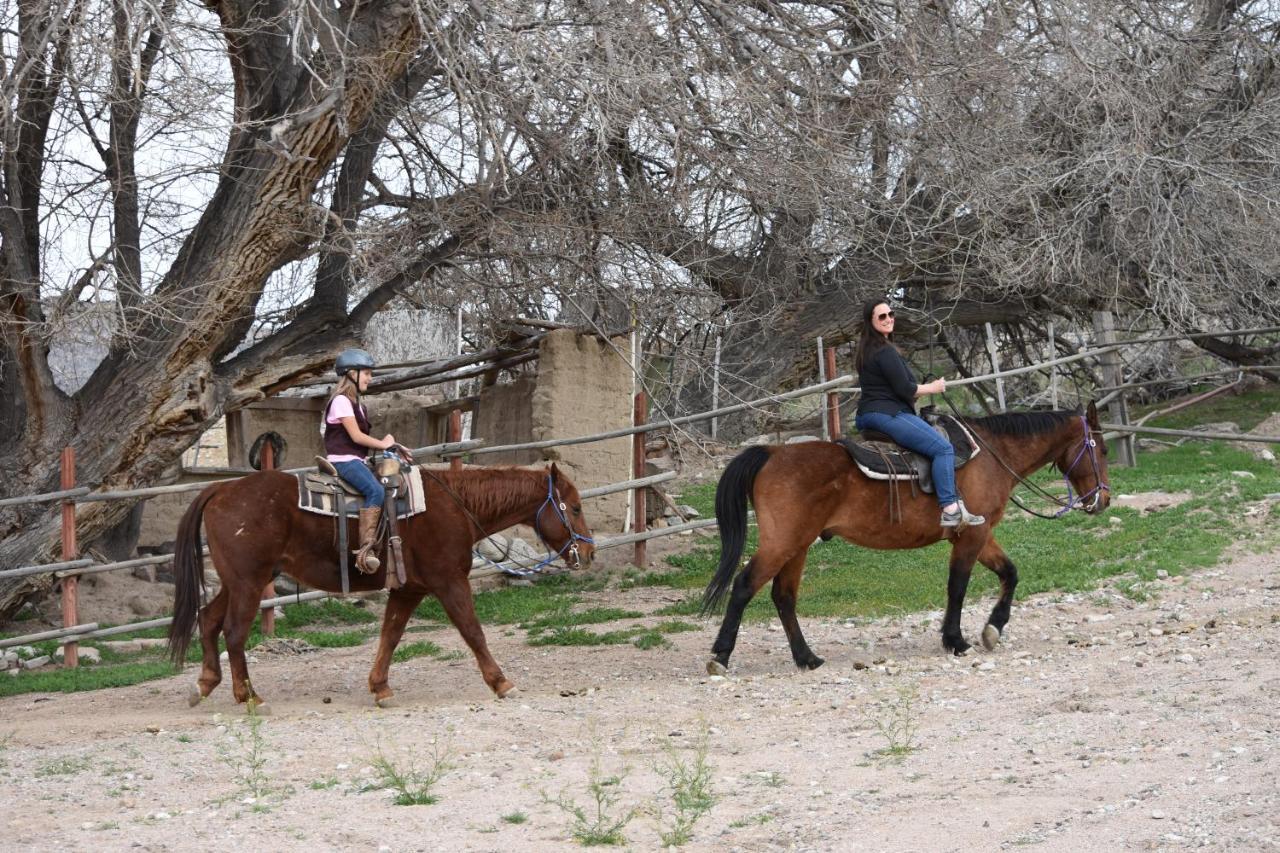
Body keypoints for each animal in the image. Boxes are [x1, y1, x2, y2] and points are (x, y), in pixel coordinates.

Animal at [163, 461, 593, 706]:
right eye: (574, 507)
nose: (587, 553)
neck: (455, 506)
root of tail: (220, 488)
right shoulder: (449, 581)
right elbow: (473, 631)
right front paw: (502, 683)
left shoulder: (409, 588)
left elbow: (391, 635)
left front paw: (380, 688)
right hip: (249, 583)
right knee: (234, 633)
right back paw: (249, 696)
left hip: (240, 582)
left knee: (208, 619)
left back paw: (204, 685)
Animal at [701, 399, 1111, 671]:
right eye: (1102, 449)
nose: (1103, 499)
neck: (992, 454)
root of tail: (771, 453)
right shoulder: (971, 537)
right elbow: (958, 586)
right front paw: (956, 640)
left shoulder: (977, 533)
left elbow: (1009, 572)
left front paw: (992, 629)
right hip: (782, 543)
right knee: (744, 585)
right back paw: (721, 654)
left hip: (798, 546)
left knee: (783, 597)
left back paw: (807, 658)